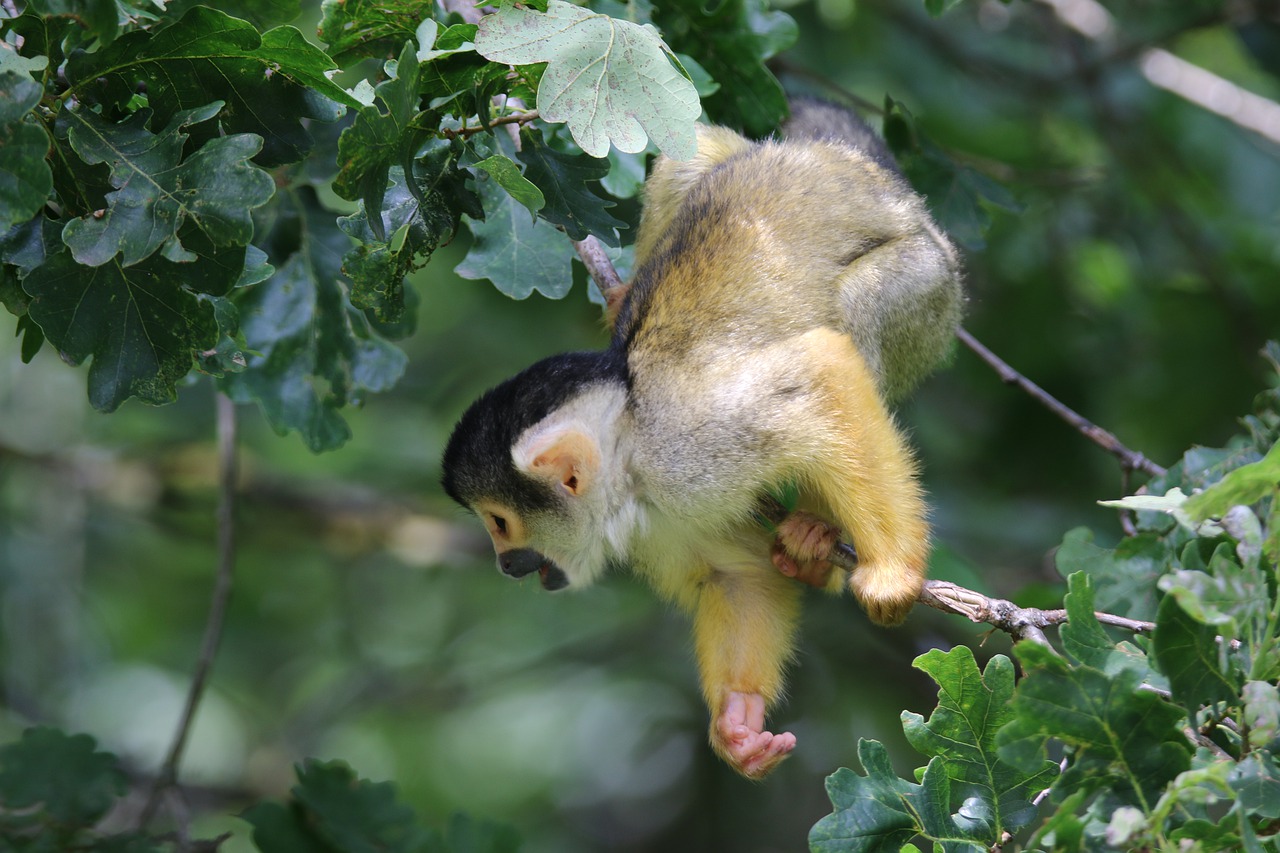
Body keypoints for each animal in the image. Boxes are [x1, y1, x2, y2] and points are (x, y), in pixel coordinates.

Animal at [441, 98, 963, 779]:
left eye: (500, 523)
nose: (505, 564)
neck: (631, 458)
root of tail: (892, 191)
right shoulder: (668, 517)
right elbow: (737, 575)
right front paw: (738, 721)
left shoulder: (688, 449)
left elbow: (819, 372)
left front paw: (894, 572)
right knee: (689, 151)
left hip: (932, 286)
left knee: (860, 303)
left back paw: (819, 529)